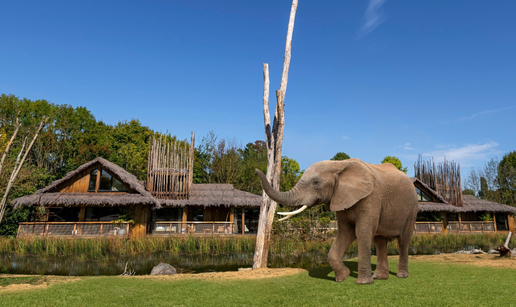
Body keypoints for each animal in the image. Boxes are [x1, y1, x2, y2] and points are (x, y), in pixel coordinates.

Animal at [256, 160, 422, 286]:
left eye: (316, 182)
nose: (257, 170)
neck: (338, 164)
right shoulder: (340, 198)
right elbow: (345, 233)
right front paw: (343, 277)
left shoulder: (371, 197)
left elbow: (362, 232)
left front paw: (362, 283)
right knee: (380, 241)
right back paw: (380, 278)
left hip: (412, 208)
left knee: (404, 240)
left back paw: (401, 276)